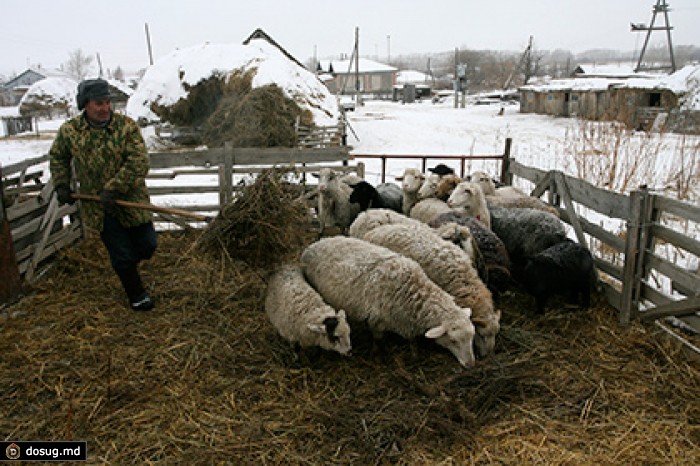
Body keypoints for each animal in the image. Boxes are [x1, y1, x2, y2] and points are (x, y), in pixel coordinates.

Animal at [300, 237, 476, 368]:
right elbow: (378, 341)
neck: (411, 292)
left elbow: (412, 341)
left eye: (472, 337)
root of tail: (313, 244)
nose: (470, 364)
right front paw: (378, 357)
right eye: (453, 340)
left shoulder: (405, 323)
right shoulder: (376, 323)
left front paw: (414, 353)